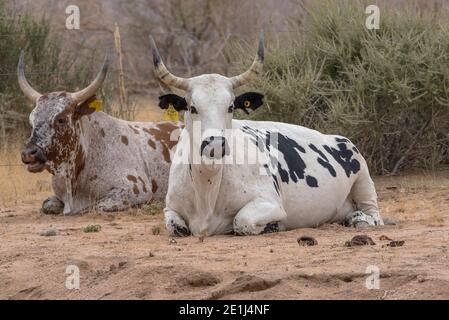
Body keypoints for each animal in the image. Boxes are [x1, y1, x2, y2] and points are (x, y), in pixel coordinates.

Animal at [18, 51, 180, 214]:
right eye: (31, 120)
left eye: (61, 119)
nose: (28, 153)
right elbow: (47, 205)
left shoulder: (135, 189)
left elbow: (95, 207)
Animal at [150, 33, 382, 236]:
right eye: (192, 107)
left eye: (231, 107)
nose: (215, 144)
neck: (207, 186)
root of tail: (337, 138)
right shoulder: (170, 209)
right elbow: (175, 226)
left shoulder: (270, 203)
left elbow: (241, 221)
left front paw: (273, 226)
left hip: (364, 180)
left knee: (373, 215)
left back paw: (360, 219)